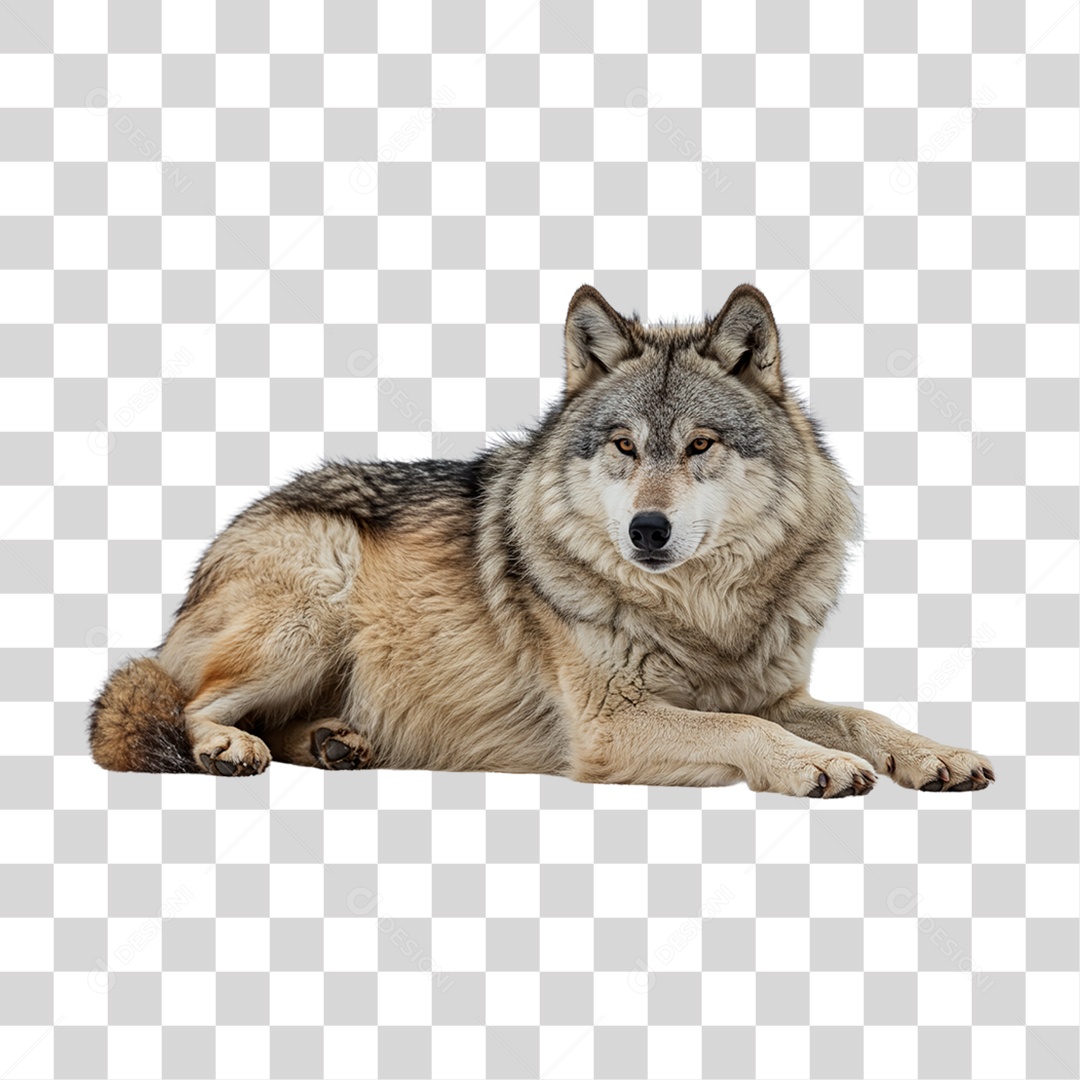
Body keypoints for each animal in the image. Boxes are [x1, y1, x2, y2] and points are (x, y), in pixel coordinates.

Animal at [89, 284, 994, 796]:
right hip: (308, 613)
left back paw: (334, 743)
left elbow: (862, 714)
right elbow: (743, 732)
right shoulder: (609, 725)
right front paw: (818, 767)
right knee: (182, 703)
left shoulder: (775, 693)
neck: (700, 612)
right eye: (624, 445)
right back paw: (228, 747)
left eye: (699, 445)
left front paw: (934, 754)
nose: (647, 528)